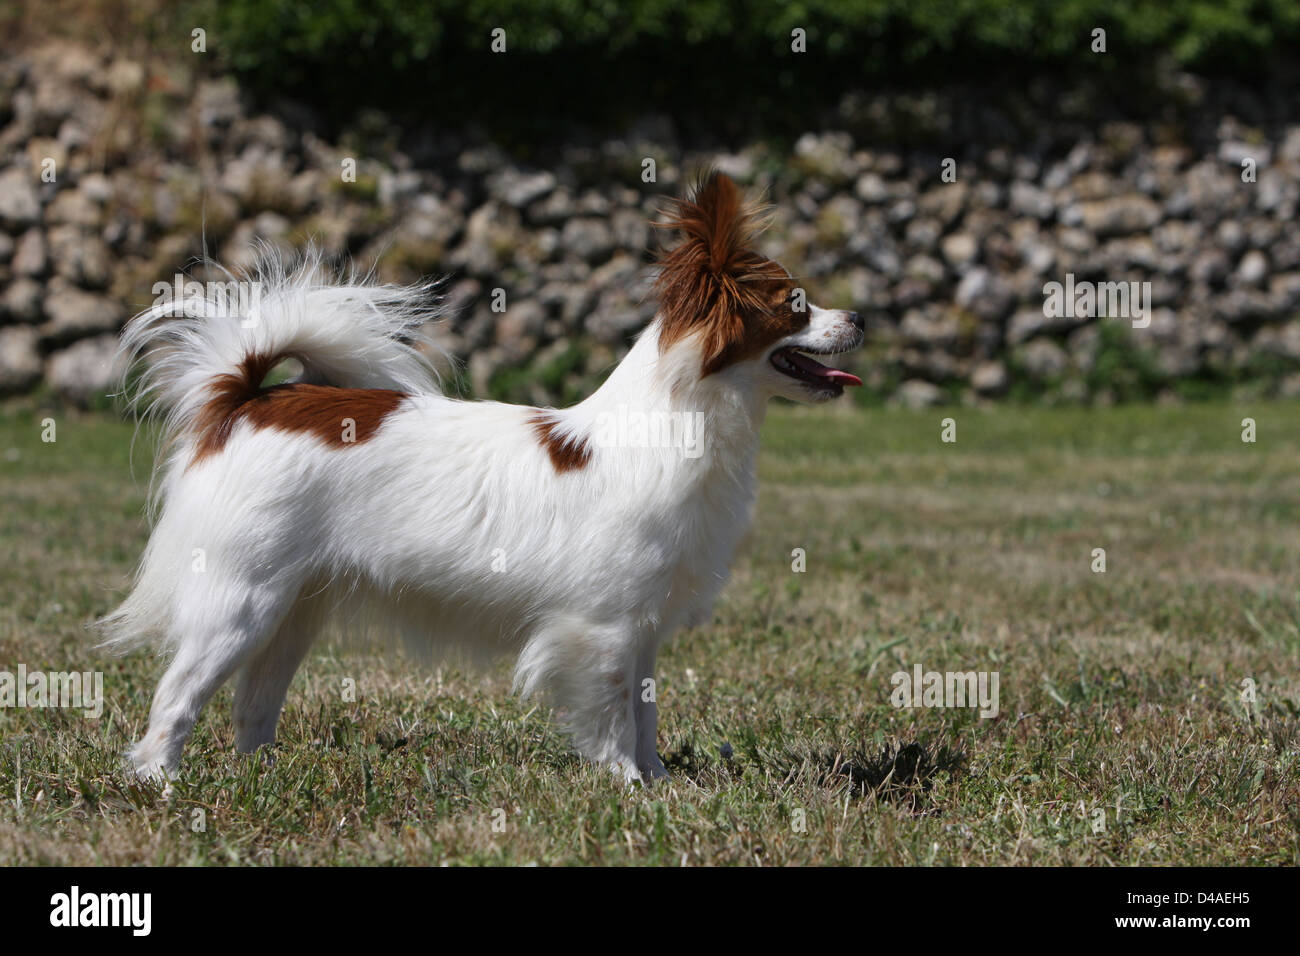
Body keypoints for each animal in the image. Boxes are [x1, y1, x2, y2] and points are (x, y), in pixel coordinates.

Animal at [98, 171, 863, 785]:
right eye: (796, 305)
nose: (860, 315)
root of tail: (247, 399)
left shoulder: (641, 627)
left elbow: (644, 714)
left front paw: (661, 785)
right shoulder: (605, 629)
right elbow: (614, 716)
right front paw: (627, 788)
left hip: (291, 611)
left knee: (253, 704)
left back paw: (263, 775)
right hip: (240, 600)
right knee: (177, 695)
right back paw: (160, 780)